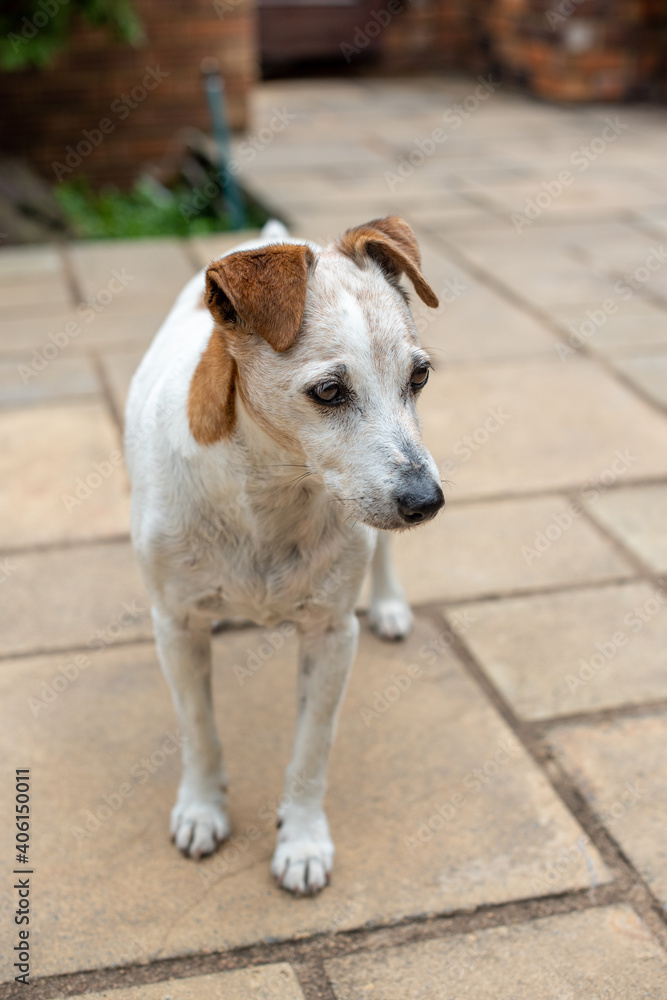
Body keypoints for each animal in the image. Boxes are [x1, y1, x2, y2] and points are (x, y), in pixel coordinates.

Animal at [126, 215, 448, 896]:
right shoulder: (176, 627)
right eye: (328, 390)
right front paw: (202, 809)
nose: (426, 502)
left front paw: (301, 841)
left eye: (419, 377)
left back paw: (390, 604)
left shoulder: (330, 635)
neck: (270, 494)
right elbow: (199, 731)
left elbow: (311, 749)